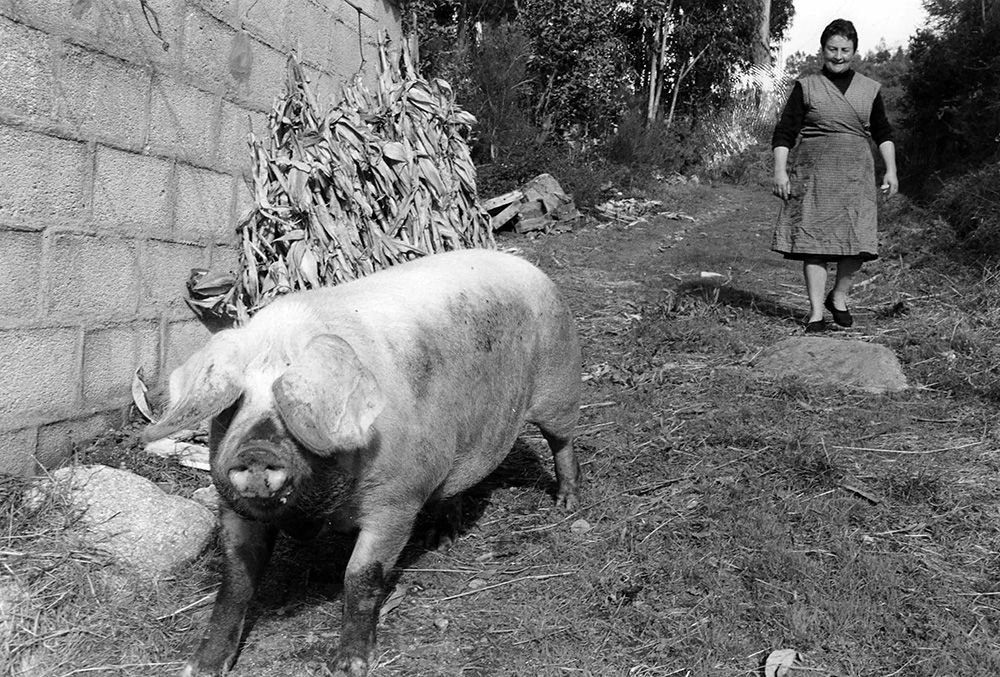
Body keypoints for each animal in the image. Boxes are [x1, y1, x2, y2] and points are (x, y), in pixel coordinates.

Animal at [141, 250, 580, 676]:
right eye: (231, 408)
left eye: (296, 407)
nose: (256, 453)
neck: (317, 513)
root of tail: (524, 265)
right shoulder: (235, 509)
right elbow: (235, 580)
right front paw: (199, 667)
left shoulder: (396, 502)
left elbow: (361, 576)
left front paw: (349, 666)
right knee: (455, 484)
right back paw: (440, 539)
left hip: (559, 383)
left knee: (562, 442)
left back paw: (567, 503)